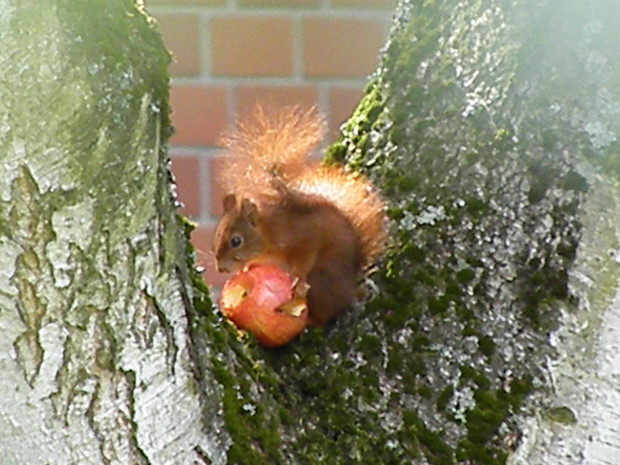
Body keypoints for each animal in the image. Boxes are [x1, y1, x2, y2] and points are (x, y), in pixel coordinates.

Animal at [214, 107, 388, 324]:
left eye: (236, 241)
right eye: (216, 236)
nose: (220, 268)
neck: (268, 232)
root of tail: (350, 290)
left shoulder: (304, 237)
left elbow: (305, 256)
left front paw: (297, 276)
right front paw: (248, 267)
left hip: (321, 279)